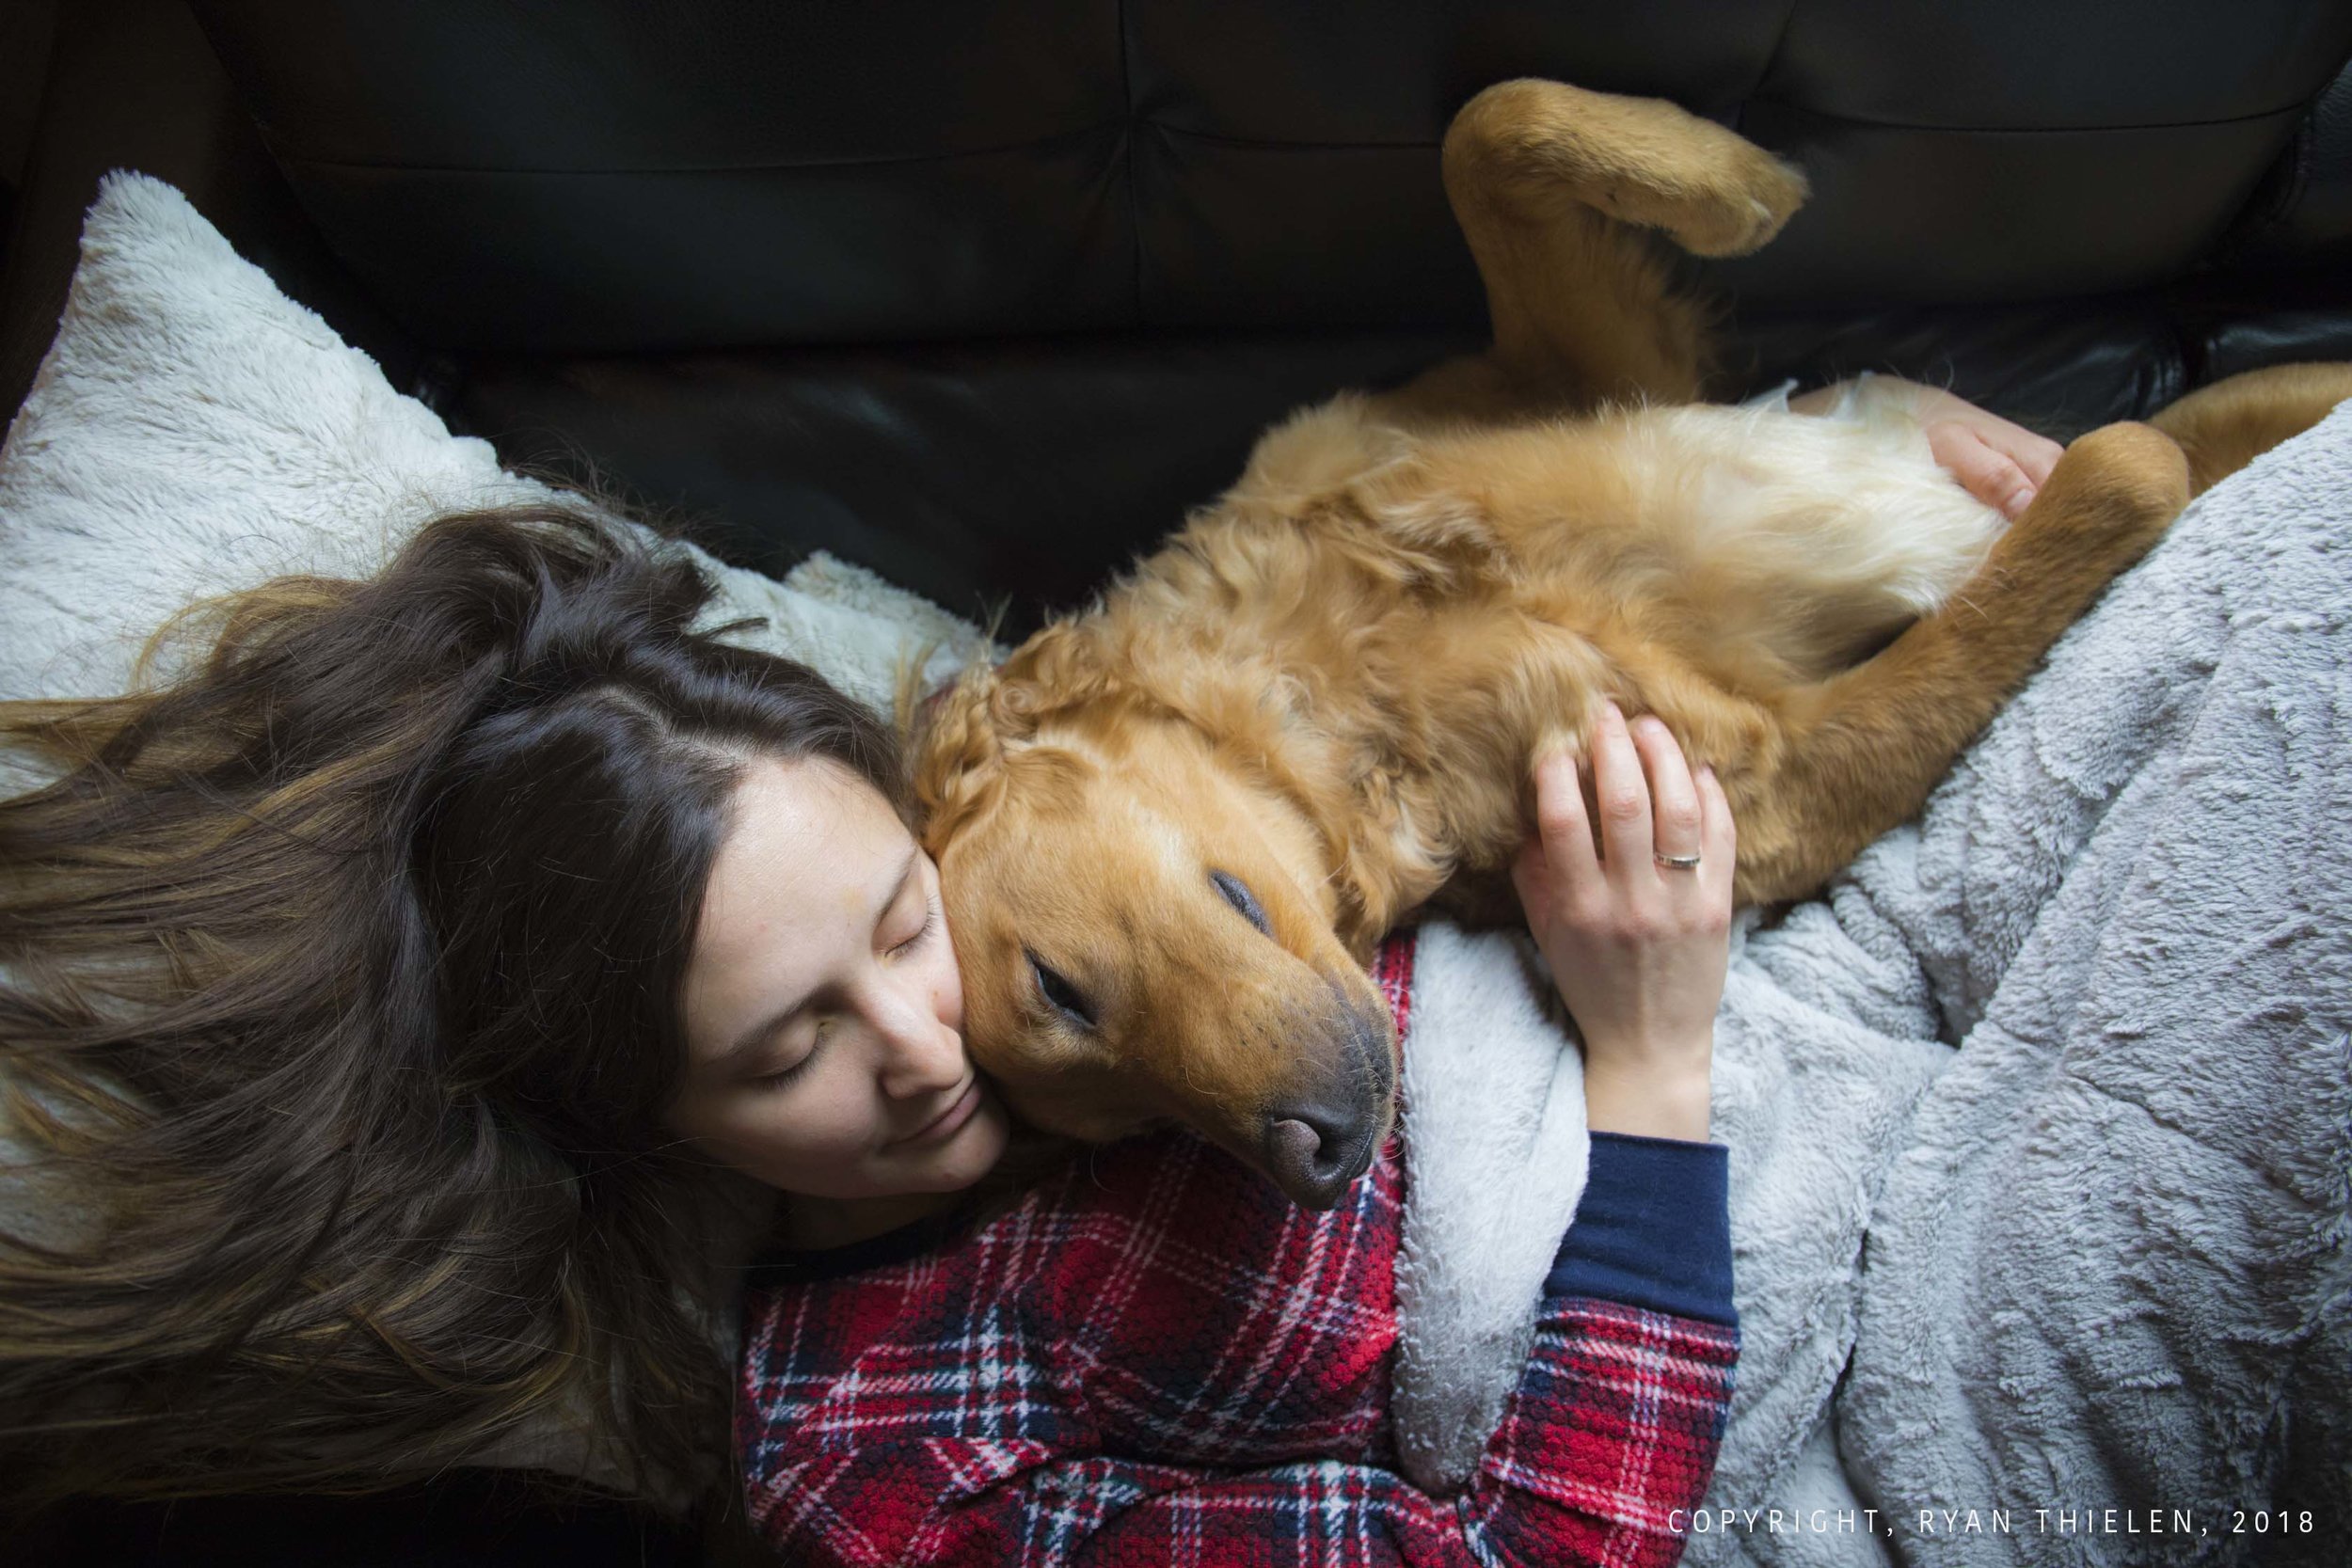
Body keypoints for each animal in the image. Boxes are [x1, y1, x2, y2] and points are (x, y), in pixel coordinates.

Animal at [908, 79, 2352, 1212]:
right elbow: (2117, 470)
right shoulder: (1769, 773)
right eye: (1134, 1128)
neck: (1337, 671)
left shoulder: (1597, 369)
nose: (1315, 1163)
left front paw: (1741, 187)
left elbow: (1494, 126)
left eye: (1060, 987)